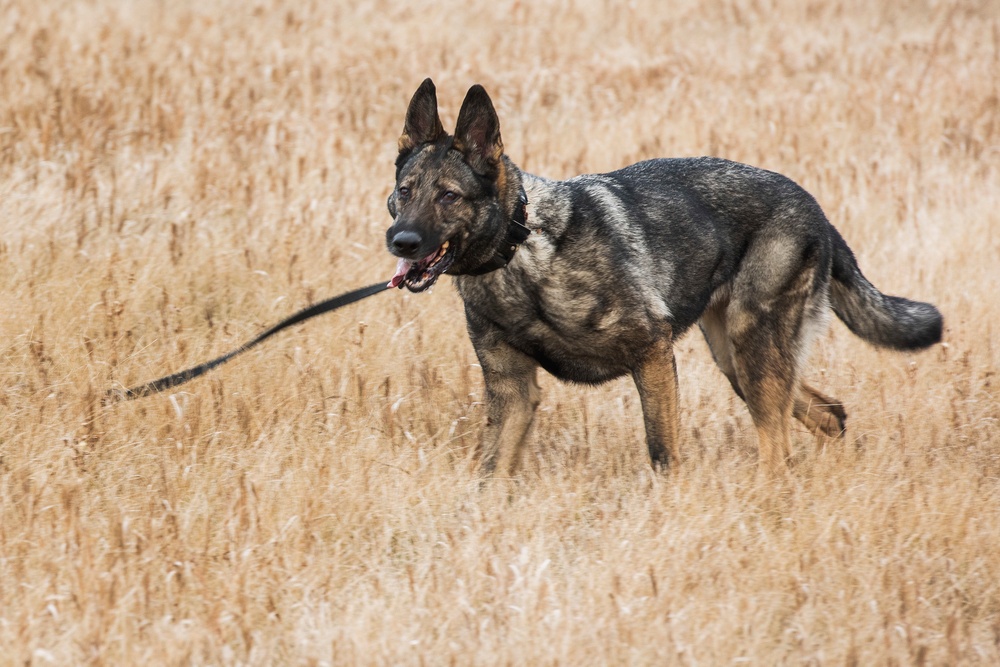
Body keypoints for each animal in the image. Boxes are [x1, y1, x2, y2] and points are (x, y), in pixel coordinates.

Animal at [384, 78, 944, 478]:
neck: (521, 249)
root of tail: (816, 210)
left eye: (449, 196)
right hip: (736, 359)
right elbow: (491, 473)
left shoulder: (651, 352)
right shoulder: (513, 393)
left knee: (778, 451)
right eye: (405, 191)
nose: (400, 241)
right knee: (829, 413)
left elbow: (663, 454)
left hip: (753, 350)